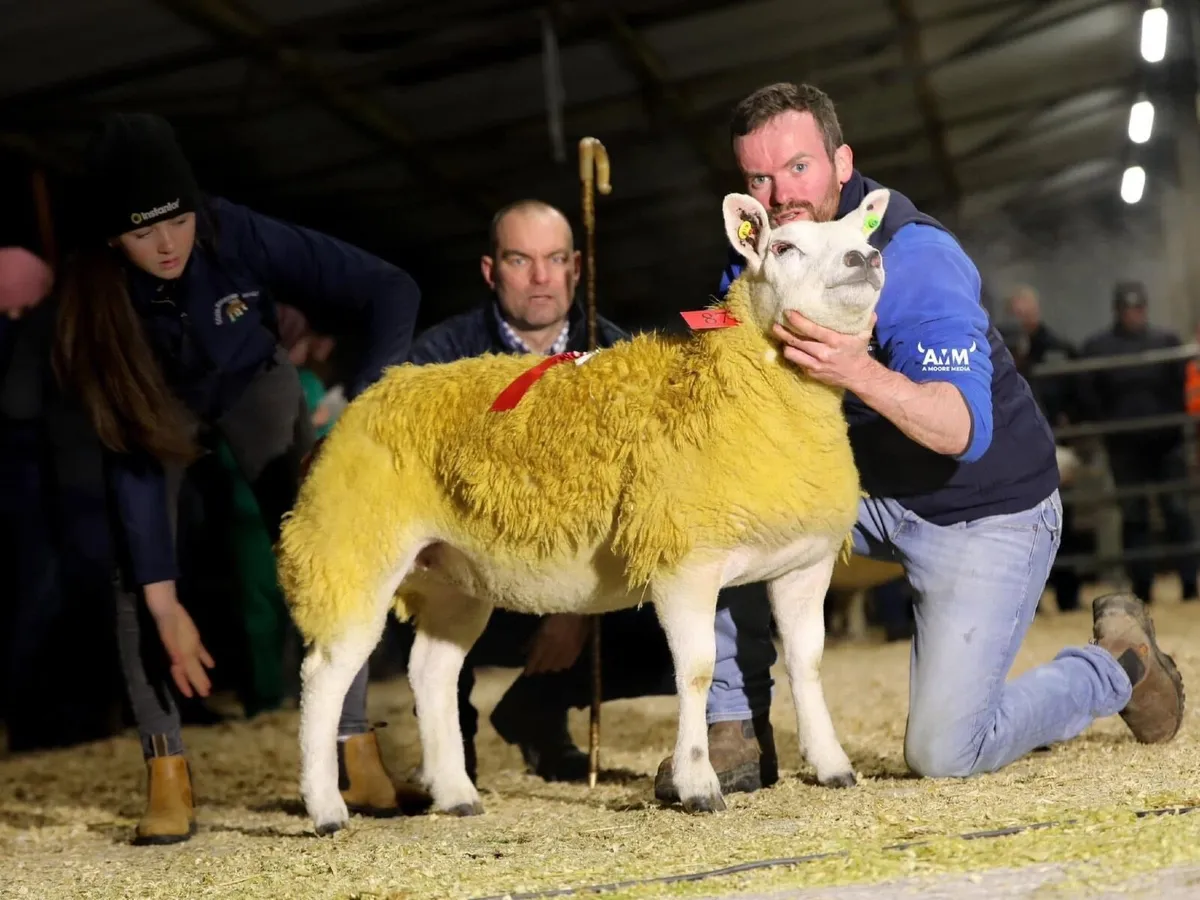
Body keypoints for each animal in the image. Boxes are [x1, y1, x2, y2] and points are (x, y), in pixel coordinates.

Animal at [277, 187, 892, 835]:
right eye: (783, 247)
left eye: (862, 233)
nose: (864, 258)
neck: (744, 387)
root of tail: (369, 397)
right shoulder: (683, 559)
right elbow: (696, 670)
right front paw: (697, 785)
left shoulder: (805, 563)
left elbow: (808, 662)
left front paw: (832, 766)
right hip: (353, 548)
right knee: (326, 674)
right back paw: (327, 808)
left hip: (451, 573)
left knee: (432, 671)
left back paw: (456, 793)